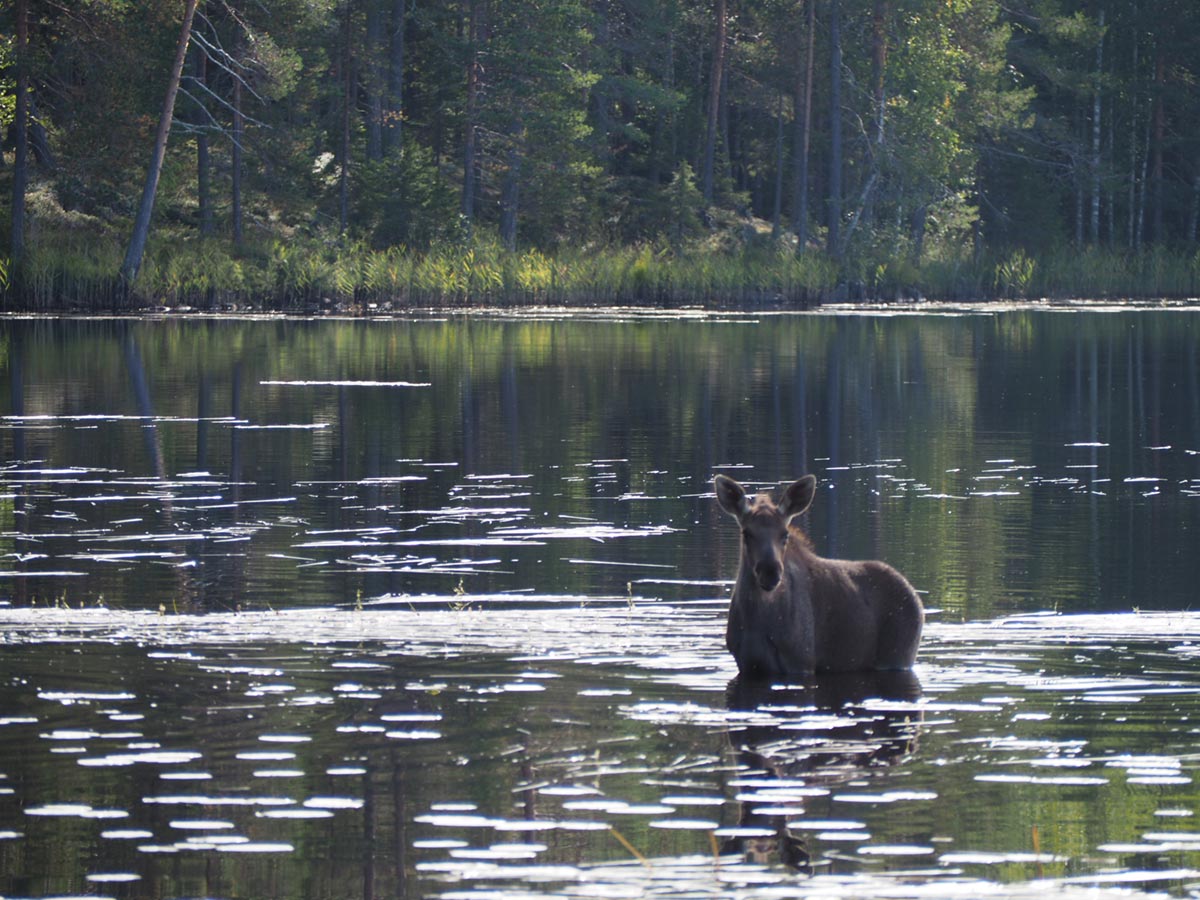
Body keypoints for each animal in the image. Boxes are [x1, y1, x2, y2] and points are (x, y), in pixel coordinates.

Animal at [715, 480, 921, 676]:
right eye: (746, 533)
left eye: (785, 534)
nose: (769, 571)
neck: (756, 621)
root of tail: (915, 596)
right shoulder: (745, 663)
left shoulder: (801, 661)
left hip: (898, 657)